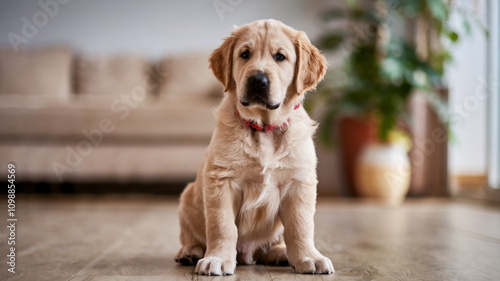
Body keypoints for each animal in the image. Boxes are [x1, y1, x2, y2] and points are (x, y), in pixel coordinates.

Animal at [174, 18, 334, 274]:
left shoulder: (300, 182)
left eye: (280, 57)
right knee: (191, 236)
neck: (264, 128)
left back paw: (280, 253)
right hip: (187, 199)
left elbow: (300, 226)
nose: (258, 81)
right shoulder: (221, 180)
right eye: (245, 54)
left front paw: (310, 257)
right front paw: (218, 259)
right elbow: (222, 225)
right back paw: (190, 251)